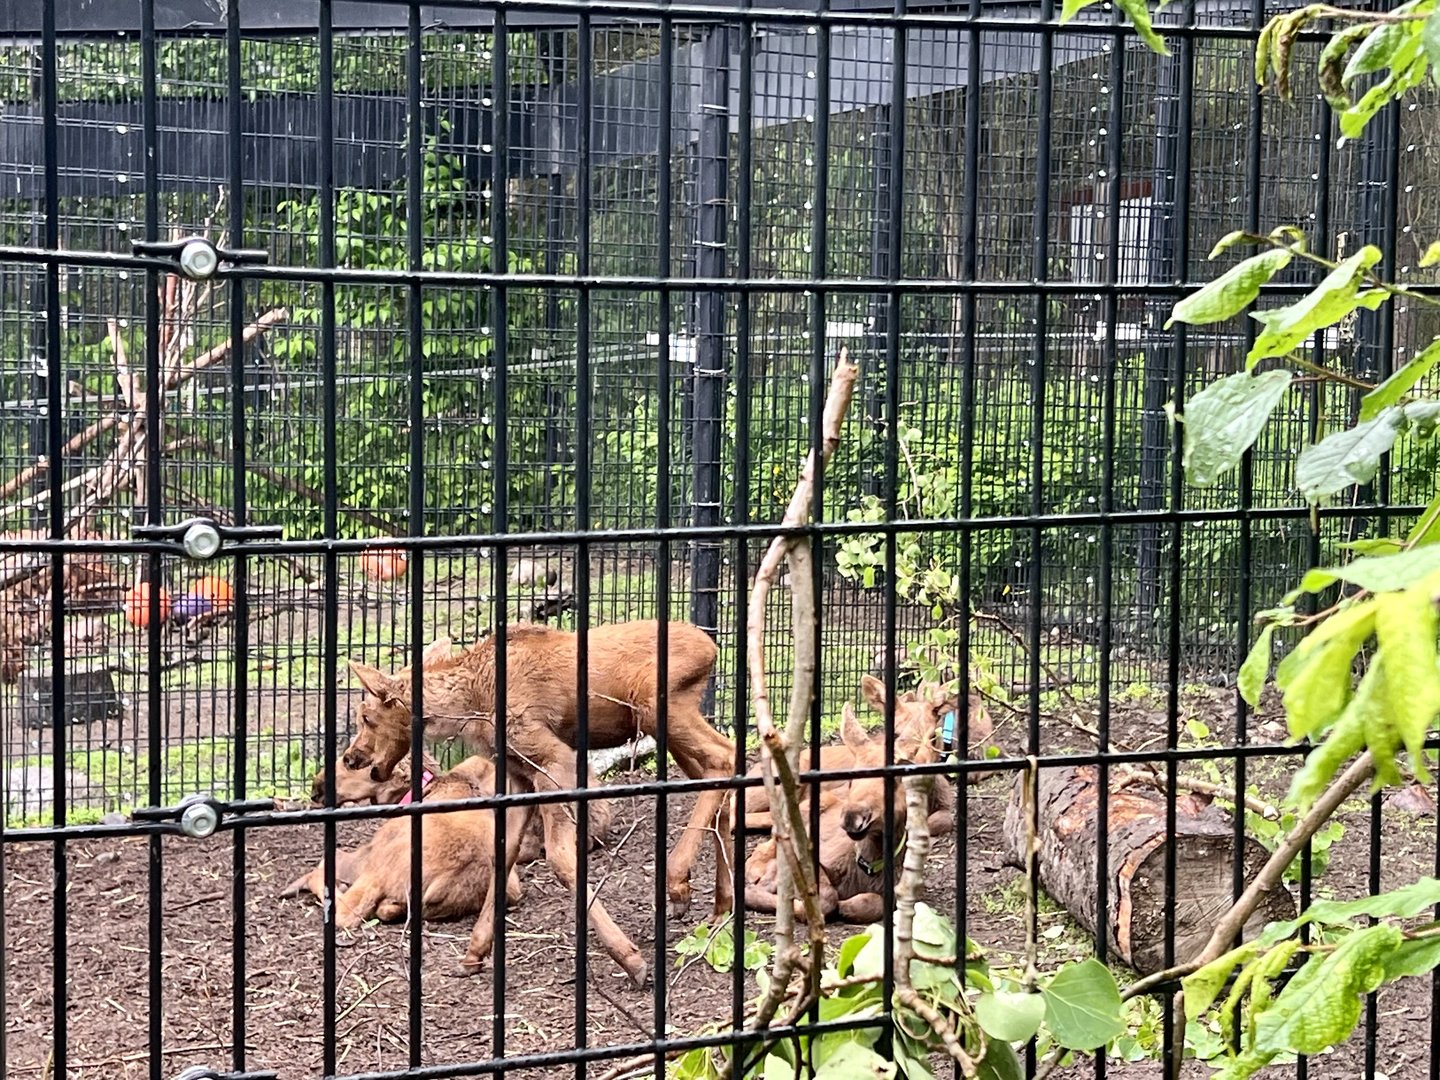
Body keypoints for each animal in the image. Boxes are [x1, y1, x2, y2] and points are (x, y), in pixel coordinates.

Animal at [337, 618, 736, 989]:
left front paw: (630, 959)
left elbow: (560, 858)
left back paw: (678, 882)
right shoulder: (519, 773)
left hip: (657, 709)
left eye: (367, 717)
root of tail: (710, 648)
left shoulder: (551, 759)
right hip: (665, 725)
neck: (471, 703)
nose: (352, 758)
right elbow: (502, 854)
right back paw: (721, 906)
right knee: (721, 777)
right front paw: (474, 952)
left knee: (725, 757)